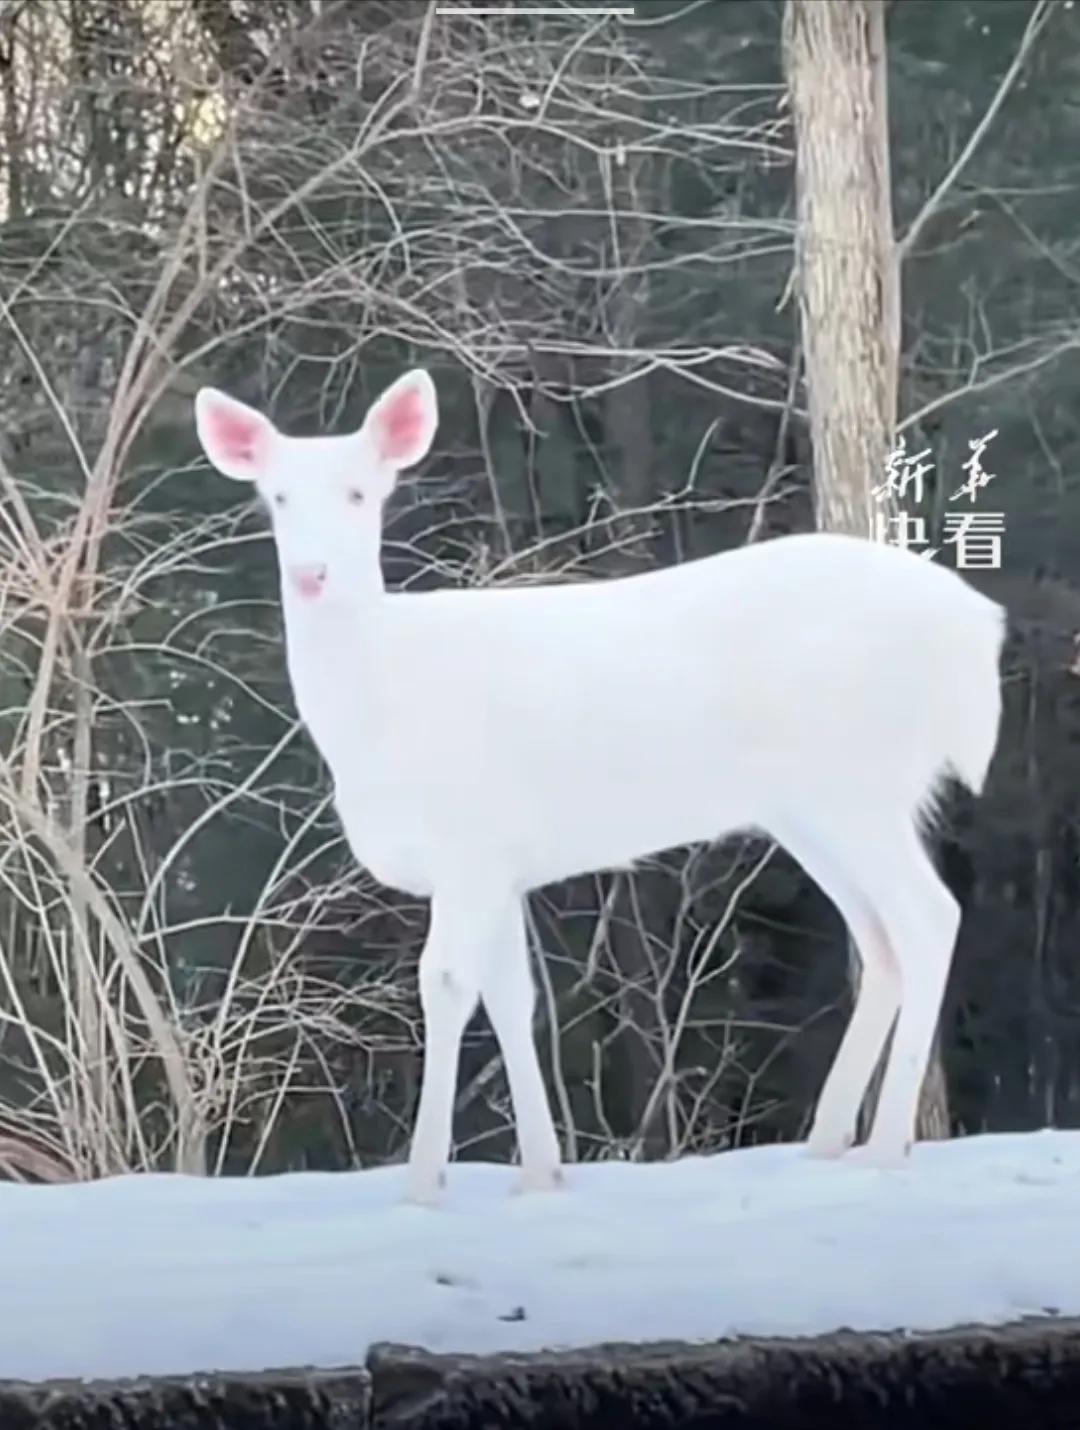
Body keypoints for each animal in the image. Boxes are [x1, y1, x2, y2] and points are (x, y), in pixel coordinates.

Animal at [191, 368, 1007, 1206]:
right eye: (278, 498)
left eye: (359, 493)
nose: (311, 574)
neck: (378, 714)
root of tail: (977, 627)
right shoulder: (501, 864)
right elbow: (513, 996)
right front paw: (542, 1173)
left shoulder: (469, 843)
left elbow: (445, 985)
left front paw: (422, 1185)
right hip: (814, 806)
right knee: (879, 939)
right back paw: (827, 1140)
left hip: (856, 779)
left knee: (928, 916)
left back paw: (886, 1146)